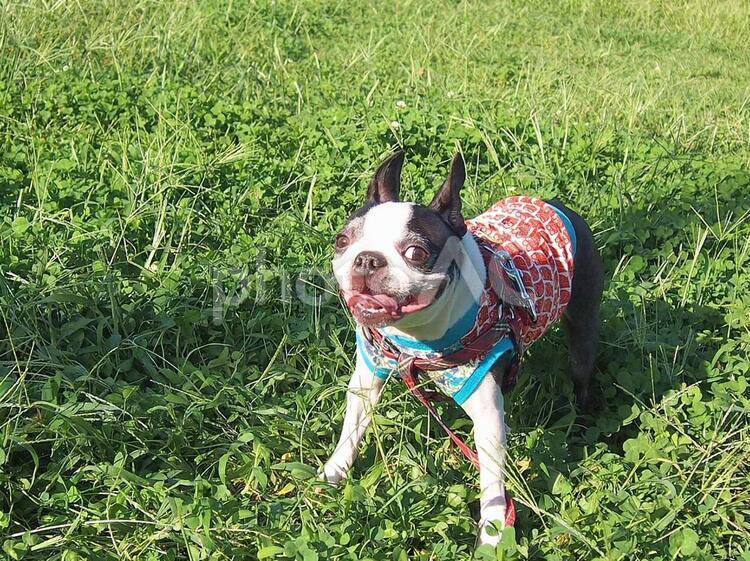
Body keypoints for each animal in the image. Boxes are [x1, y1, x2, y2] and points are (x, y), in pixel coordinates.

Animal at [322, 151, 604, 547]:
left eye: (416, 252)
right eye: (342, 240)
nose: (367, 258)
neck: (416, 338)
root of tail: (557, 205)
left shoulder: (486, 417)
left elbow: (492, 482)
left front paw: (492, 533)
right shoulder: (368, 377)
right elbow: (352, 427)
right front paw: (335, 470)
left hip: (583, 323)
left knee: (581, 372)